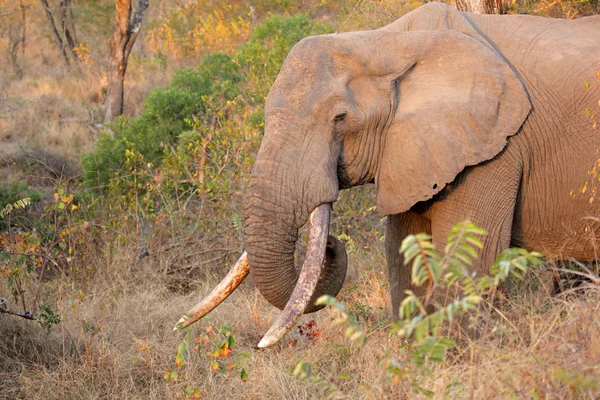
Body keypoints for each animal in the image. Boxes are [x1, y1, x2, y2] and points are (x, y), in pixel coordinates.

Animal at [176, 2, 600, 346]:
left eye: (340, 119)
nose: (332, 245)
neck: (386, 42)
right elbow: (403, 265)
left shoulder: (496, 149)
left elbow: (466, 264)